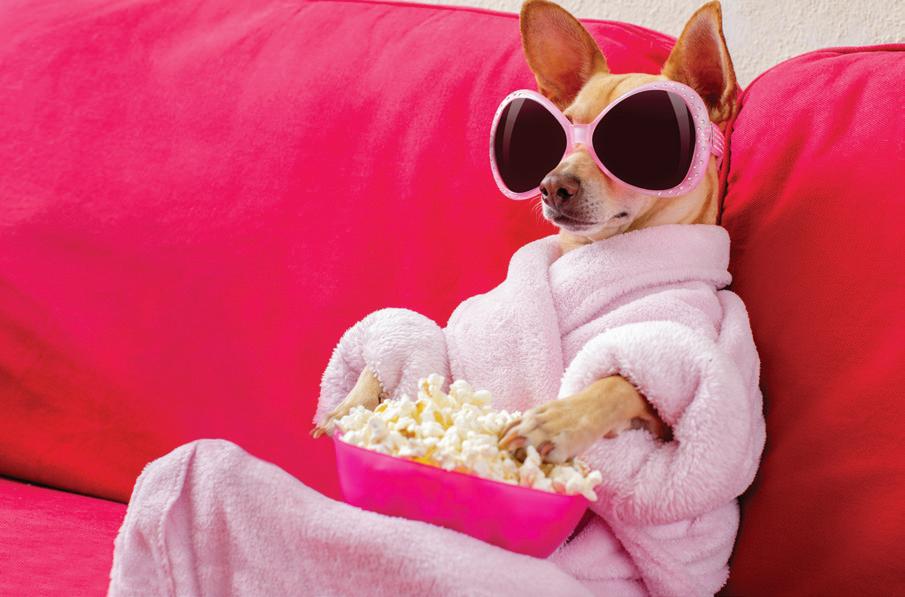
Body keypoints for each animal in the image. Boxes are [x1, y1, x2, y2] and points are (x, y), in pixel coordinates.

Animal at [313, 0, 738, 465]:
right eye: (562, 133)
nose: (553, 185)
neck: (593, 251)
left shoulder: (672, 371)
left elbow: (618, 381)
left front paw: (558, 421)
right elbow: (412, 350)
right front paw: (350, 408)